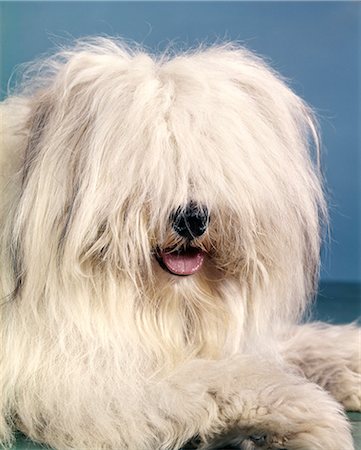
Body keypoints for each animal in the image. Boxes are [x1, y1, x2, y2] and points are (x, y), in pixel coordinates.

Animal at [0, 38, 360, 450]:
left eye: (215, 160)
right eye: (145, 164)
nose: (192, 218)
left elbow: (291, 343)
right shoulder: (83, 378)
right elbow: (221, 378)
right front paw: (305, 415)